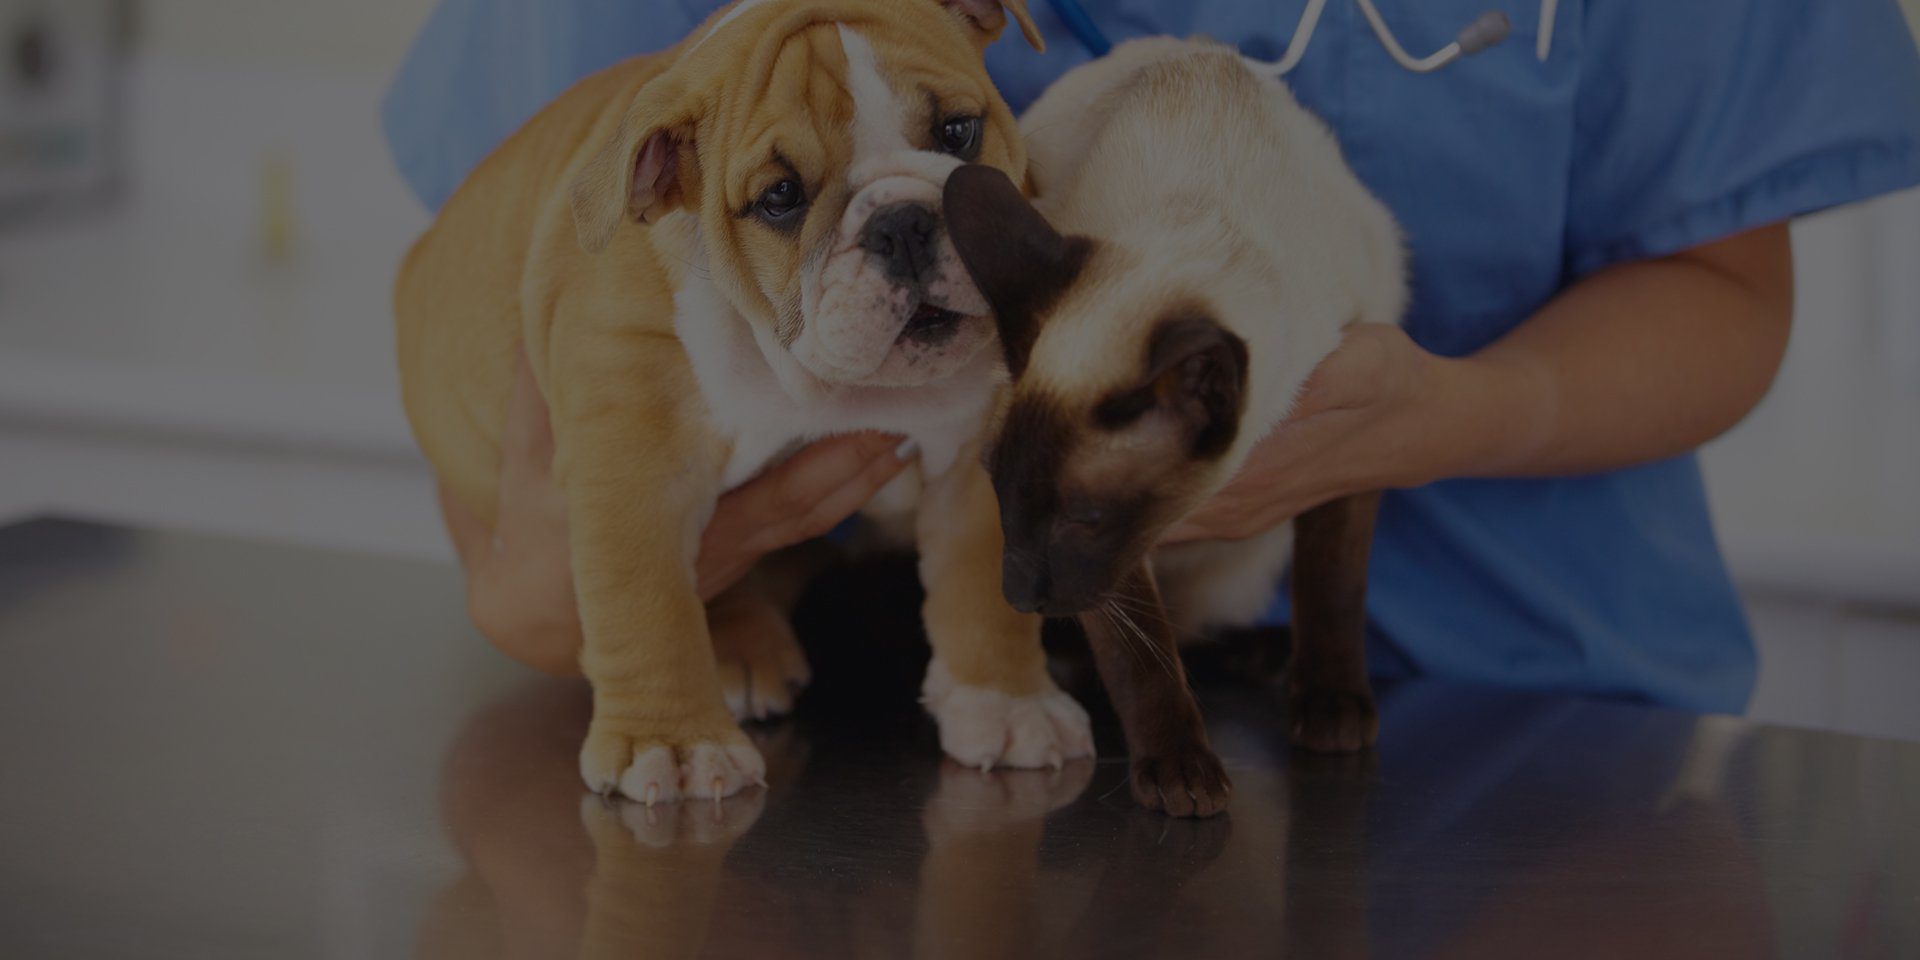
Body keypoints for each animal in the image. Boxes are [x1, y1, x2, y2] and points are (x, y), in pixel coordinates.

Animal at [395, 0, 1097, 805]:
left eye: (957, 132)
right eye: (780, 198)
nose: (903, 224)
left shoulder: (974, 458)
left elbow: (985, 590)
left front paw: (1008, 705)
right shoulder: (634, 468)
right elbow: (645, 603)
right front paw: (668, 743)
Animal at [944, 38, 1409, 808]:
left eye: (1084, 516)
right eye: (1000, 491)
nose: (1021, 597)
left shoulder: (1353, 433)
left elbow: (1333, 585)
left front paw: (1332, 706)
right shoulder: (1111, 566)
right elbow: (1139, 654)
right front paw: (1180, 772)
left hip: (1243, 563)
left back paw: (1269, 658)